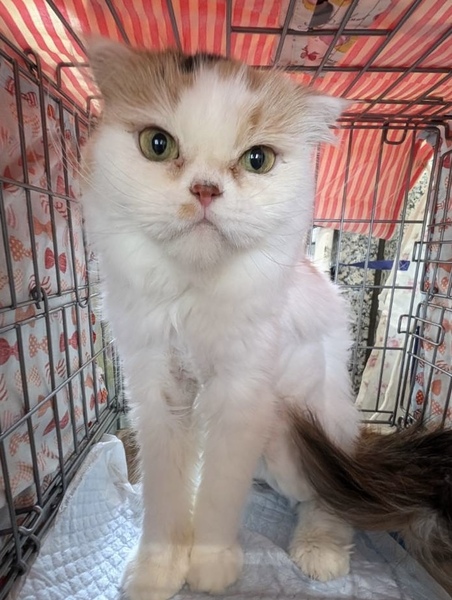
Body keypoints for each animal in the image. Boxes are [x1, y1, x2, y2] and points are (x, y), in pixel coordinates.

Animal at [81, 38, 452, 600]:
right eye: (157, 145)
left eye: (257, 160)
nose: (205, 190)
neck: (195, 294)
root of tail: (357, 439)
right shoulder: (159, 394)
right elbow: (165, 496)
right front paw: (157, 570)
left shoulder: (241, 397)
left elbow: (219, 495)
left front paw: (210, 568)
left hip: (293, 437)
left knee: (334, 501)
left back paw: (318, 551)